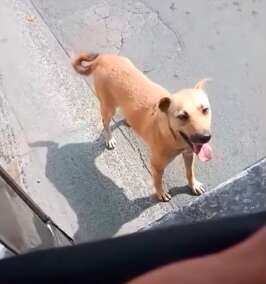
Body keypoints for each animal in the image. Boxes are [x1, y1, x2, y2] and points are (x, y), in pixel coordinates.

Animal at [71, 52, 213, 201]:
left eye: (205, 110)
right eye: (182, 116)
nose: (205, 137)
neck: (171, 135)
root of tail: (103, 57)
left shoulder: (189, 154)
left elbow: (190, 172)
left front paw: (193, 184)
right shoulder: (157, 165)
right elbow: (157, 181)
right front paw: (160, 193)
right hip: (108, 107)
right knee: (106, 123)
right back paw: (109, 138)